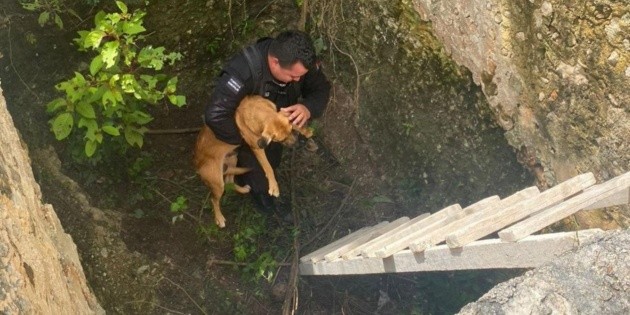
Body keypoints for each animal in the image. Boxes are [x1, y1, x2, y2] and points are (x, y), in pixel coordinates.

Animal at [191, 95, 312, 228]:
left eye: (290, 132)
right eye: (281, 140)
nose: (296, 144)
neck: (259, 111)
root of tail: (196, 163)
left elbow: (295, 122)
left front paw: (305, 130)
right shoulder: (257, 147)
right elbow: (268, 167)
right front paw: (274, 186)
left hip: (233, 159)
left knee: (229, 181)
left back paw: (244, 189)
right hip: (217, 183)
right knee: (214, 199)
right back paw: (219, 218)